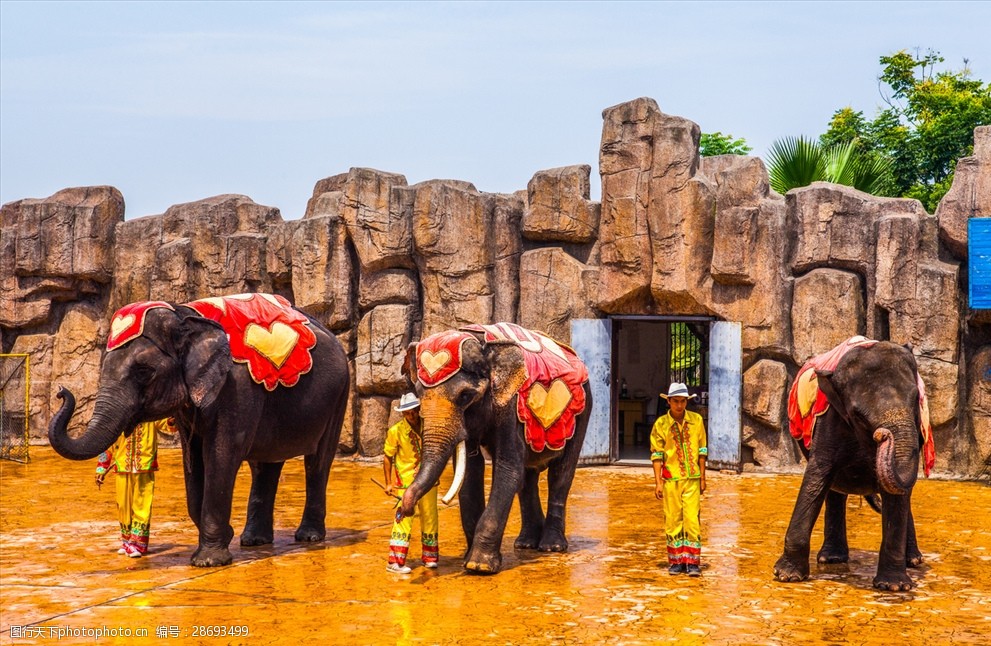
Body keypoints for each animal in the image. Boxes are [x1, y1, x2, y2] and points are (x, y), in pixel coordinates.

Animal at [52, 294, 352, 568]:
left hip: (339, 393)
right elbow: (194, 459)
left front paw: (208, 562)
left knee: (317, 462)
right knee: (265, 465)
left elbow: (220, 455)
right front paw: (224, 539)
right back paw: (253, 541)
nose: (61, 391)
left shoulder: (236, 388)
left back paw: (309, 537)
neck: (183, 314)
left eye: (143, 371)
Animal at [396, 326, 592, 576]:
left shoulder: (509, 404)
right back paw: (526, 544)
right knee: (528, 478)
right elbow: (471, 474)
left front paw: (479, 566)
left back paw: (551, 547)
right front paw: (468, 560)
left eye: (465, 396)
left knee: (561, 474)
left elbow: (508, 469)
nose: (403, 510)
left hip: (583, 410)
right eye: (420, 395)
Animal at [776, 342, 936, 596]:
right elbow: (817, 475)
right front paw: (786, 576)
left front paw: (894, 586)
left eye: (916, 401)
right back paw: (832, 559)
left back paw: (913, 560)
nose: (883, 435)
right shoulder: (830, 419)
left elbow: (897, 494)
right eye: (859, 416)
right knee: (834, 489)